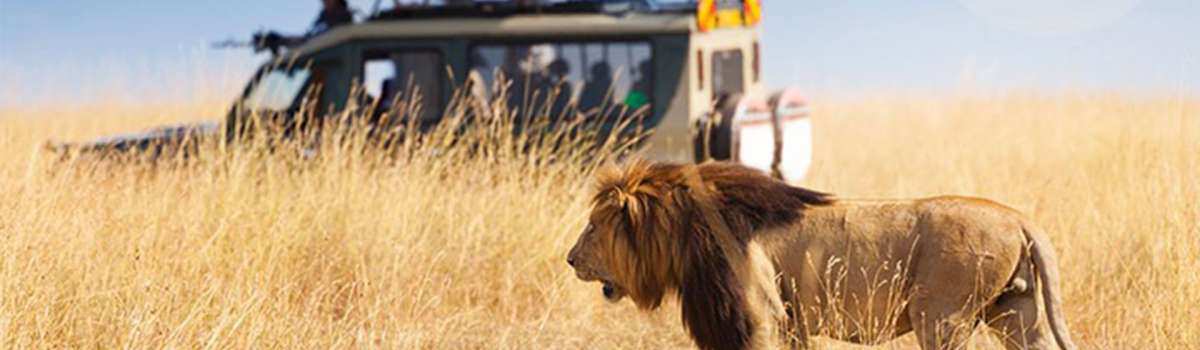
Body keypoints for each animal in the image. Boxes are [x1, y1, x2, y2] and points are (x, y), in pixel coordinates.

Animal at [566, 159, 1075, 347]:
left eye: (592, 226)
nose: (570, 259)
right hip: (1016, 311)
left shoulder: (759, 315)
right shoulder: (790, 322)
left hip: (941, 316)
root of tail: (1018, 218)